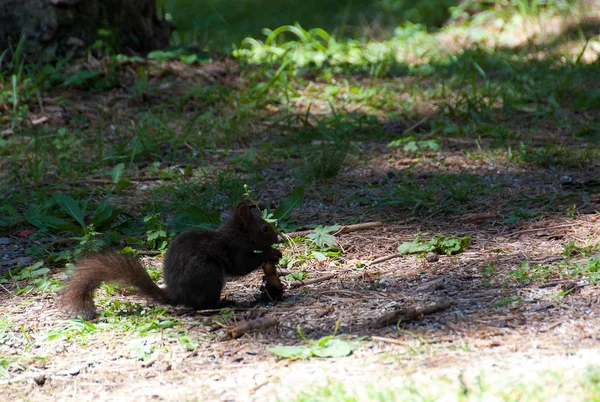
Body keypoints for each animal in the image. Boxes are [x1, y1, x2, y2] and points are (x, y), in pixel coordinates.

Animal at [58, 204, 282, 320]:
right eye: (264, 228)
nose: (277, 238)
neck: (237, 232)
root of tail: (177, 295)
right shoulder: (234, 248)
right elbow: (241, 266)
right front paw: (271, 253)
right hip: (208, 273)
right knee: (202, 307)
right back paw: (223, 303)